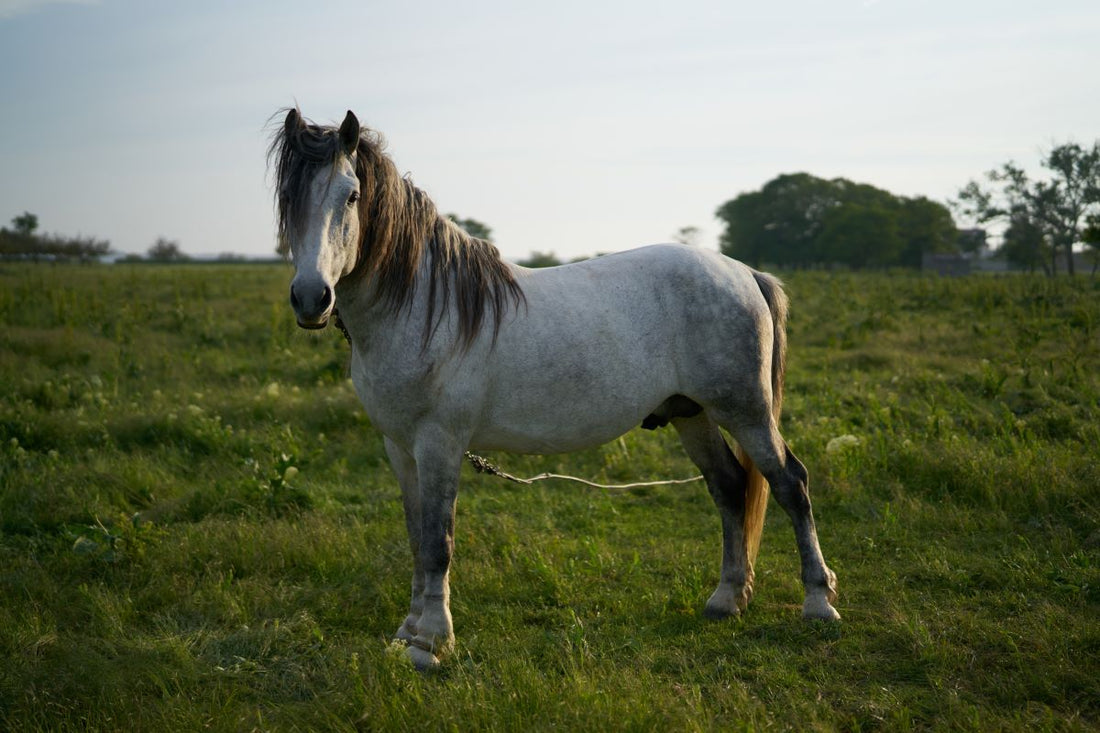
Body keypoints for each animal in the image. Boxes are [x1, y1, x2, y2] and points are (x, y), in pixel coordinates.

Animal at [269, 108, 840, 669]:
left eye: (352, 195)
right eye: (289, 197)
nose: (312, 298)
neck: (426, 305)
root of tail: (744, 272)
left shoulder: (439, 443)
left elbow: (438, 541)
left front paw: (432, 642)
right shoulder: (399, 446)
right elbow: (416, 535)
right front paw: (408, 632)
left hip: (745, 411)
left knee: (790, 482)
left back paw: (818, 602)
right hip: (691, 413)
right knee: (729, 487)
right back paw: (727, 599)